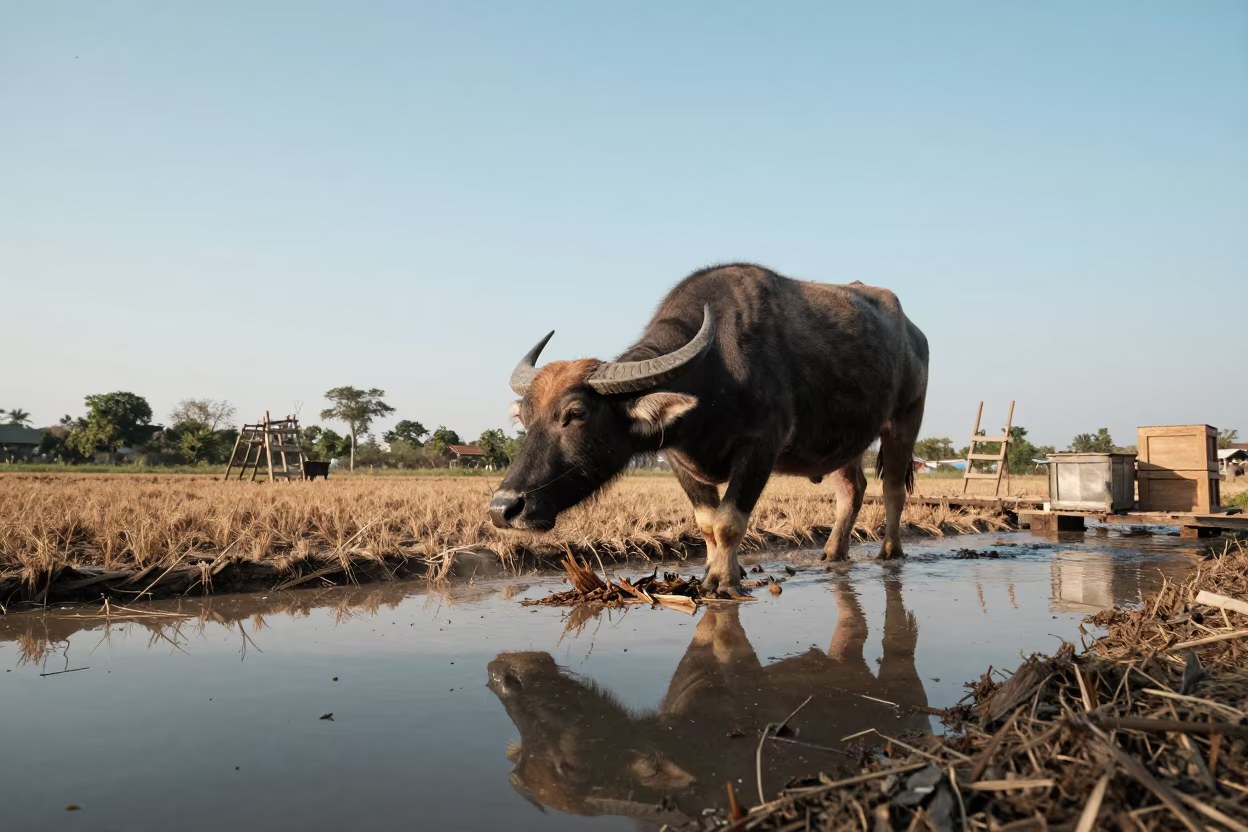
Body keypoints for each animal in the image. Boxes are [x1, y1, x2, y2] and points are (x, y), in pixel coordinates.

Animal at [489, 263, 929, 595]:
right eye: (525, 418)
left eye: (575, 414)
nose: (502, 509)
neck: (715, 373)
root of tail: (913, 333)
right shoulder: (679, 459)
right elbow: (706, 524)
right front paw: (714, 574)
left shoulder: (760, 448)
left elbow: (728, 521)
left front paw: (722, 581)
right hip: (842, 442)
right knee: (852, 490)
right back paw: (833, 553)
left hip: (905, 419)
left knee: (892, 490)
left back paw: (890, 551)